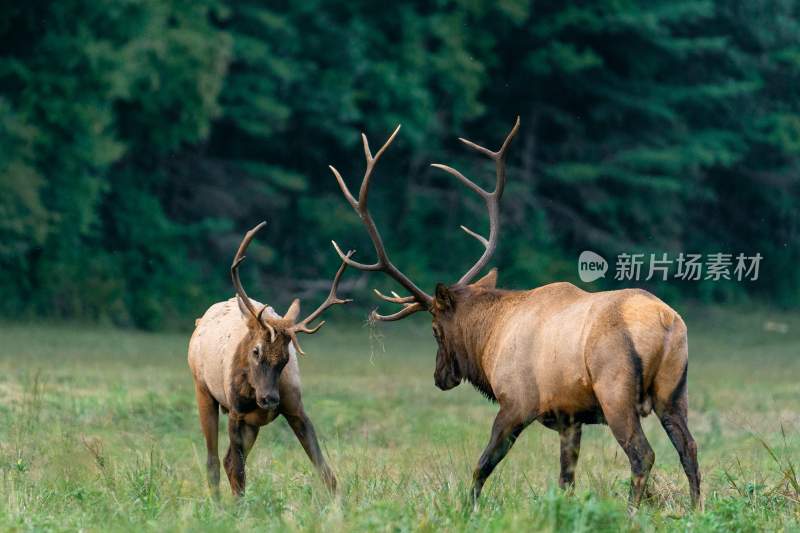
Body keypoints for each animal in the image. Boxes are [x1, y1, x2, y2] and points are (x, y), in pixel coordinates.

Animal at [189, 222, 352, 496]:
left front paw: (338, 502)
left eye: (286, 358)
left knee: (226, 460)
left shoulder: (295, 407)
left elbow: (325, 471)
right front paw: (239, 506)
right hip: (203, 390)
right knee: (214, 462)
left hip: (251, 423)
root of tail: (200, 320)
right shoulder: (236, 412)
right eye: (256, 351)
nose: (269, 399)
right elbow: (239, 474)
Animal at [330, 119, 700, 508]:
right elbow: (566, 478)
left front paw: (468, 508)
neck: (490, 339)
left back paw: (631, 512)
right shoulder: (570, 417)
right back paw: (696, 508)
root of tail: (666, 324)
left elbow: (482, 465)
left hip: (615, 390)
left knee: (642, 454)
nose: (439, 376)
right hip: (674, 392)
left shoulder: (516, 403)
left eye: (434, 328)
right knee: (688, 447)